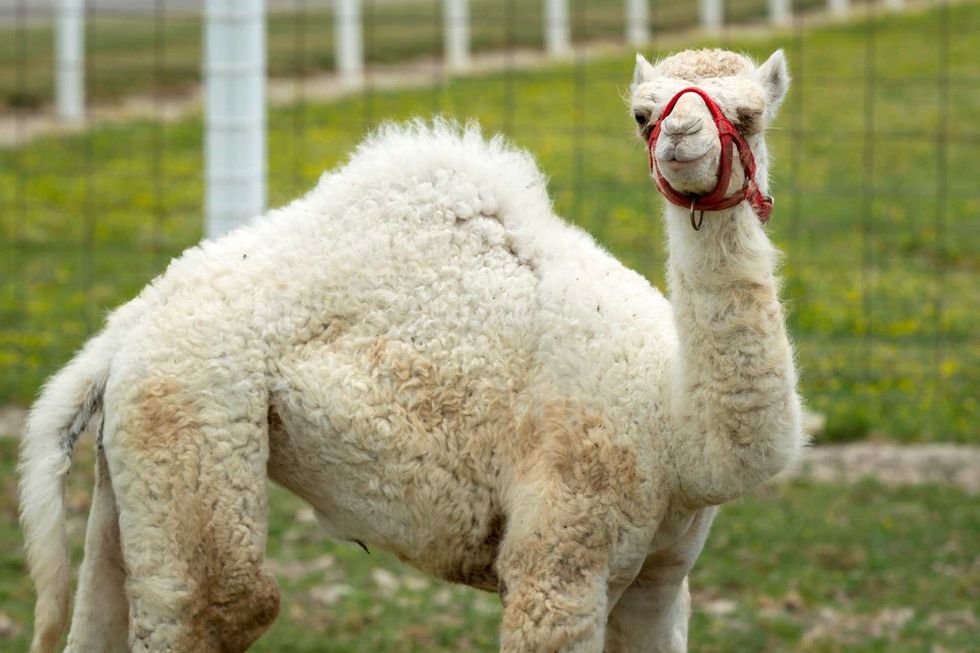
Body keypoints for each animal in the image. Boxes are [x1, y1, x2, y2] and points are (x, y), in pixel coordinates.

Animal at [19, 47, 804, 652]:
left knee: (106, 608)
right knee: (220, 602)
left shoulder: (661, 578)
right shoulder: (558, 559)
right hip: (195, 415)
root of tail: (123, 329)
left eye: (749, 114)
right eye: (643, 113)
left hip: (133, 456)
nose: (681, 137)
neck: (675, 427)